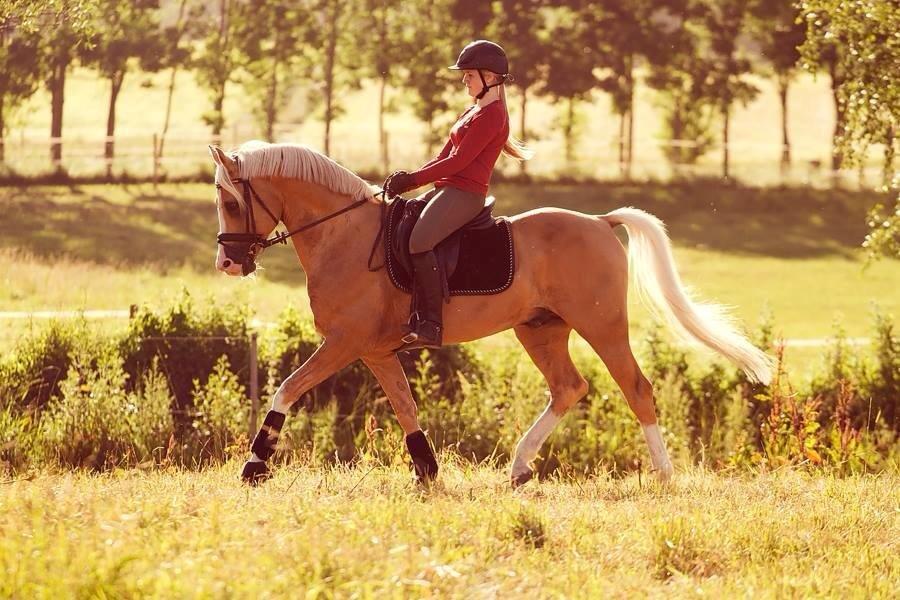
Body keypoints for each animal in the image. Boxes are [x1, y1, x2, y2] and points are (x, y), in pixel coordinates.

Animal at [211, 141, 772, 488]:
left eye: (230, 201)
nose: (228, 263)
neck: (341, 235)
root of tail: (597, 221)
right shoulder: (375, 351)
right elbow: (406, 407)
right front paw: (427, 469)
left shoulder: (345, 343)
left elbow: (287, 388)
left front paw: (255, 464)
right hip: (540, 330)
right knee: (568, 388)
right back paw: (520, 466)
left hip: (603, 327)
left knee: (636, 388)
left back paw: (663, 473)